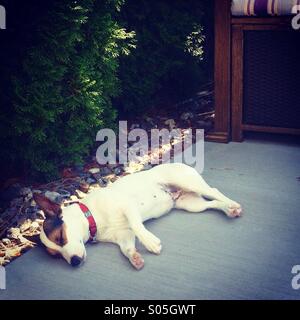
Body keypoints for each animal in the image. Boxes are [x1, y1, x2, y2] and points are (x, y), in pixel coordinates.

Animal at [34, 162, 243, 270]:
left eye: (61, 238)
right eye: (55, 256)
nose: (75, 262)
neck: (92, 217)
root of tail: (179, 162)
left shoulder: (128, 206)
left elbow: (137, 225)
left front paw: (150, 243)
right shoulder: (123, 235)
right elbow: (127, 248)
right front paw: (134, 257)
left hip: (188, 183)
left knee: (214, 191)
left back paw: (233, 204)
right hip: (191, 205)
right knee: (211, 203)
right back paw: (229, 209)